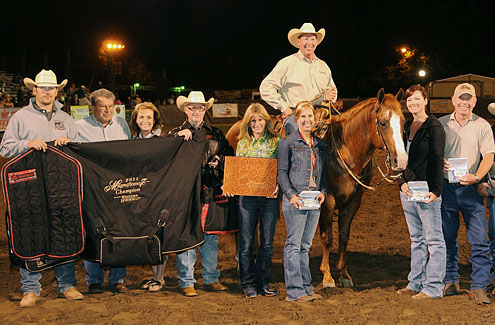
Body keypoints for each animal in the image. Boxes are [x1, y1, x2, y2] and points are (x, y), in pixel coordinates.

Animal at [320, 88, 408, 286]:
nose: (401, 160)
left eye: (404, 122)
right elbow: (327, 238)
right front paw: (327, 276)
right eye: (382, 123)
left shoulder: (354, 202)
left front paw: (344, 275)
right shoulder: (327, 200)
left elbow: (344, 236)